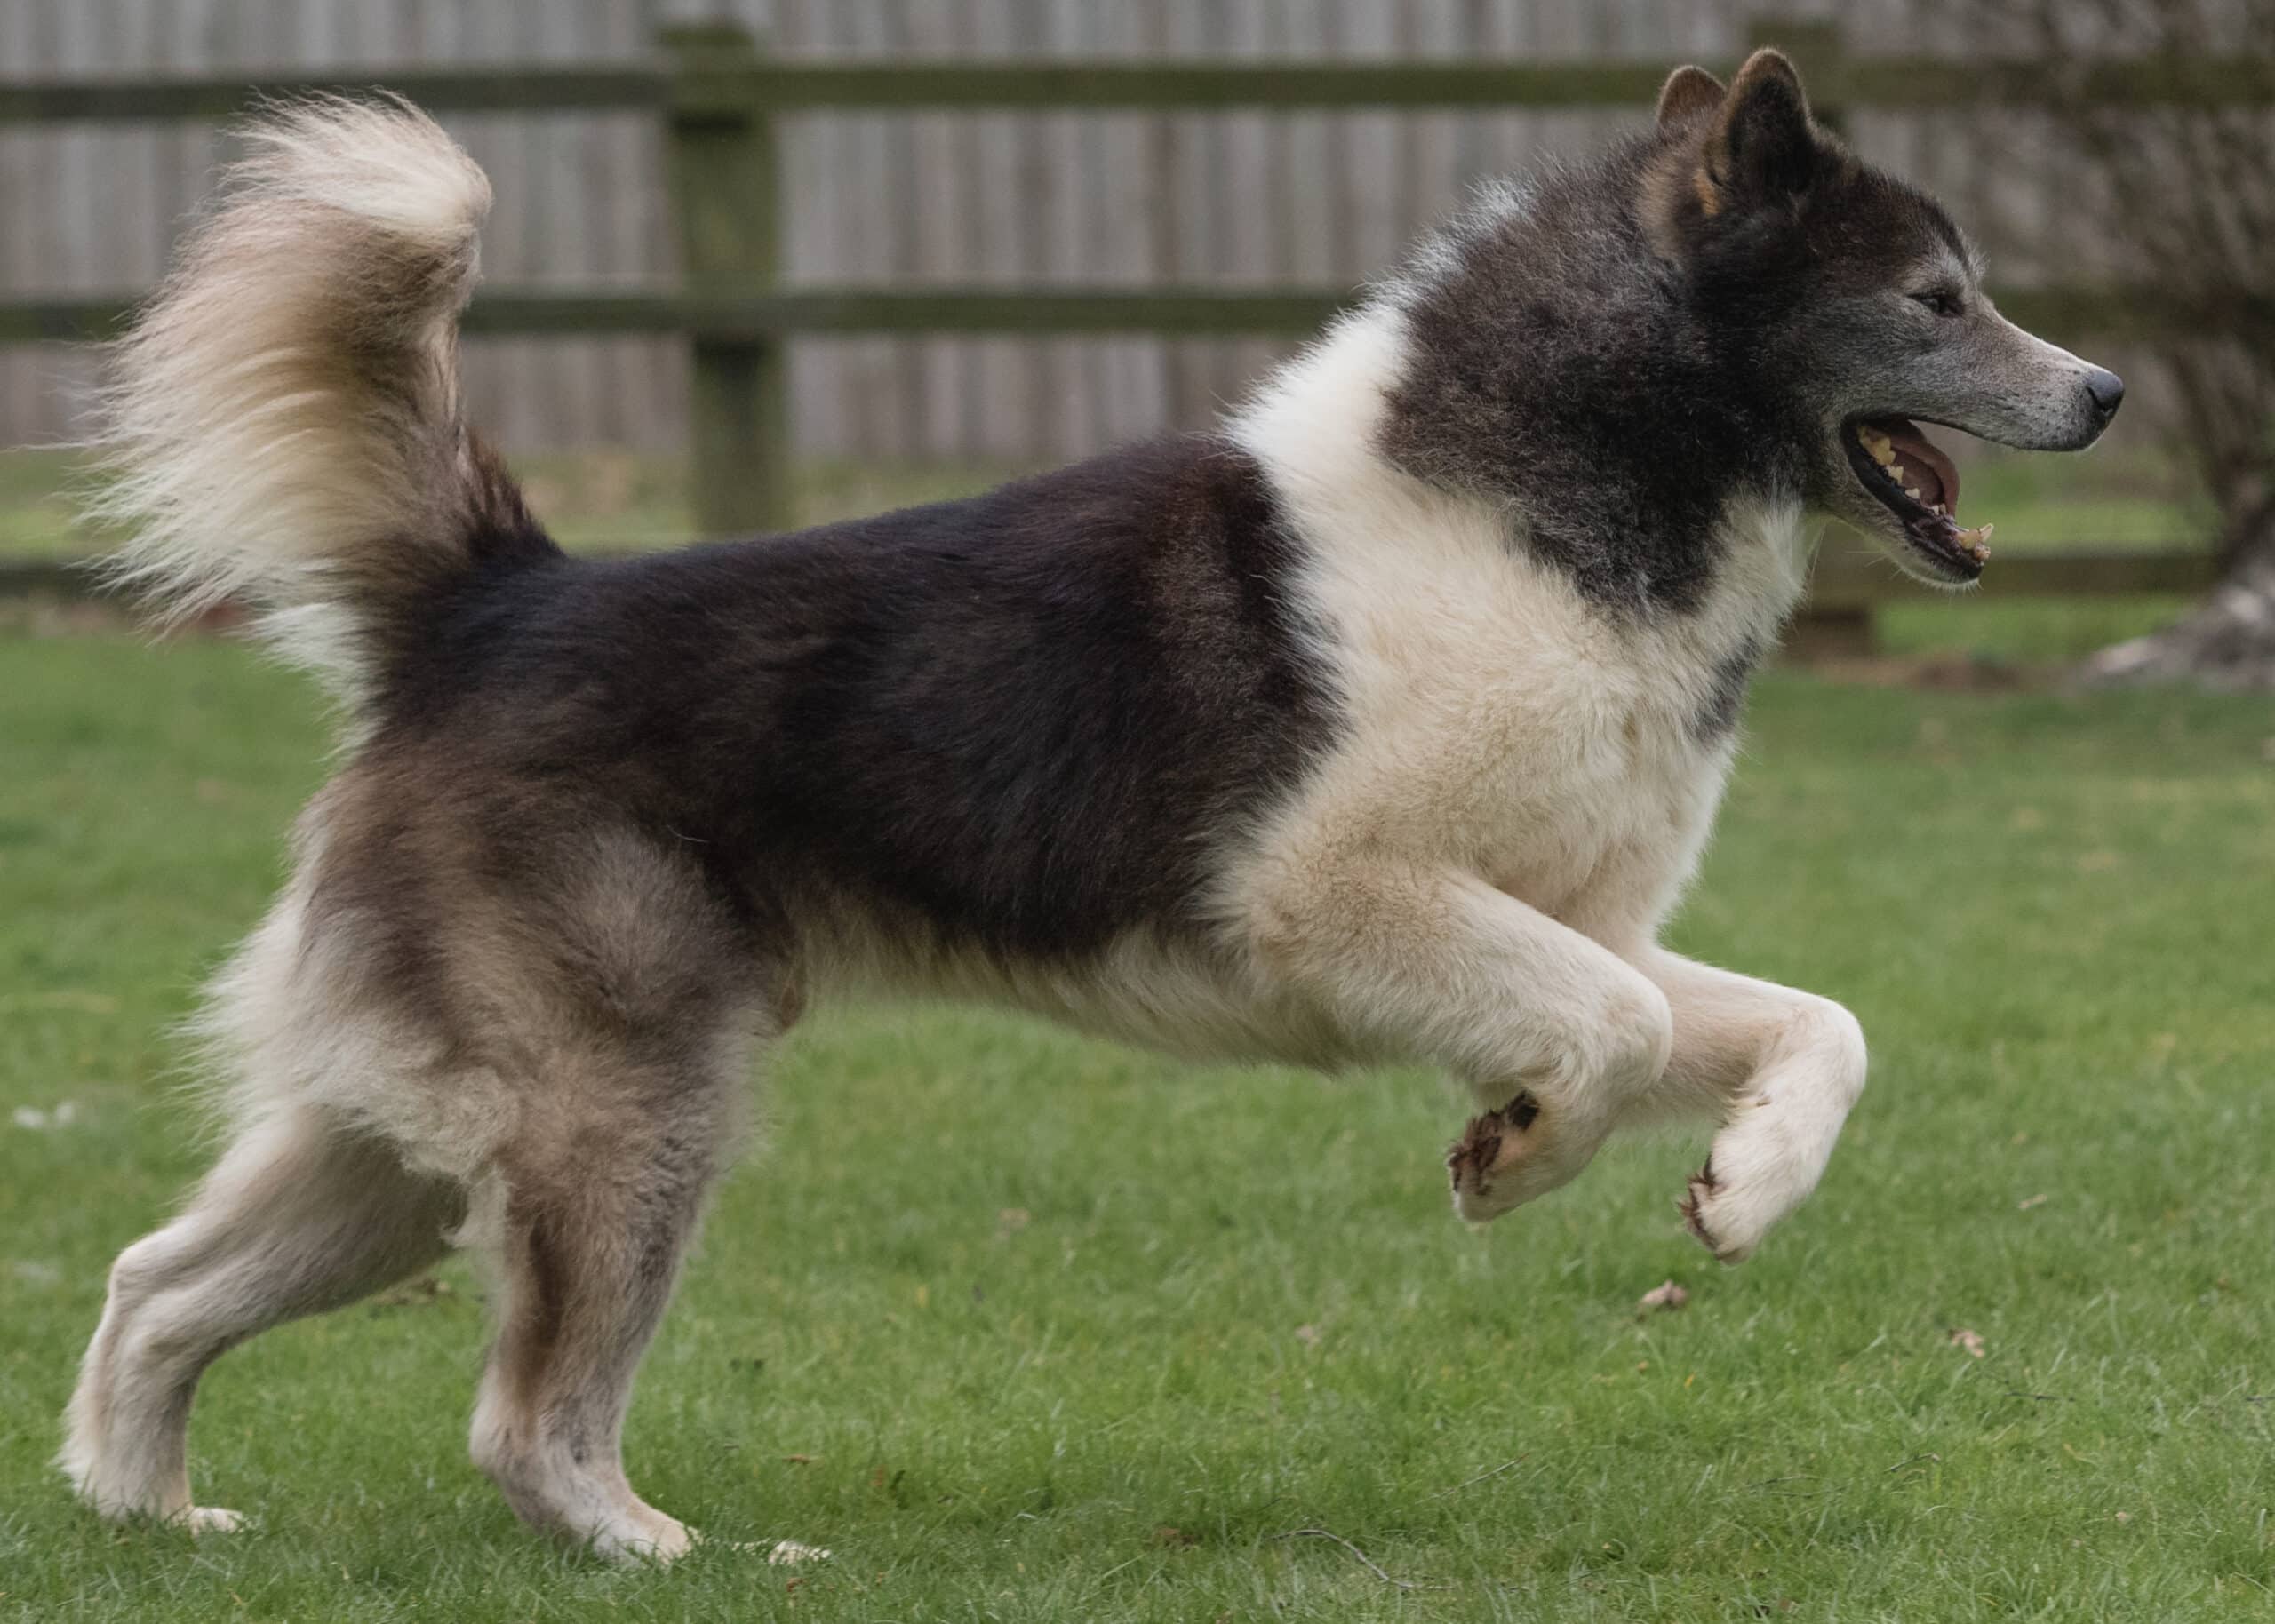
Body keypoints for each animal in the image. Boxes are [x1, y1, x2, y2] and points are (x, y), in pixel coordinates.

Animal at [62, 53, 2119, 1556]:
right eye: (1938, 300)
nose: (2103, 389)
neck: (1555, 498)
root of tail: (493, 599)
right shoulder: (1342, 897)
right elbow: (1604, 1032)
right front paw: (1515, 1151)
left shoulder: (1565, 916)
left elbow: (1814, 1028)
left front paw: (1735, 1186)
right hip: (623, 1111)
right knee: (517, 1419)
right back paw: (672, 1550)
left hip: (405, 1149)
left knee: (151, 1277)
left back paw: (147, 1515)